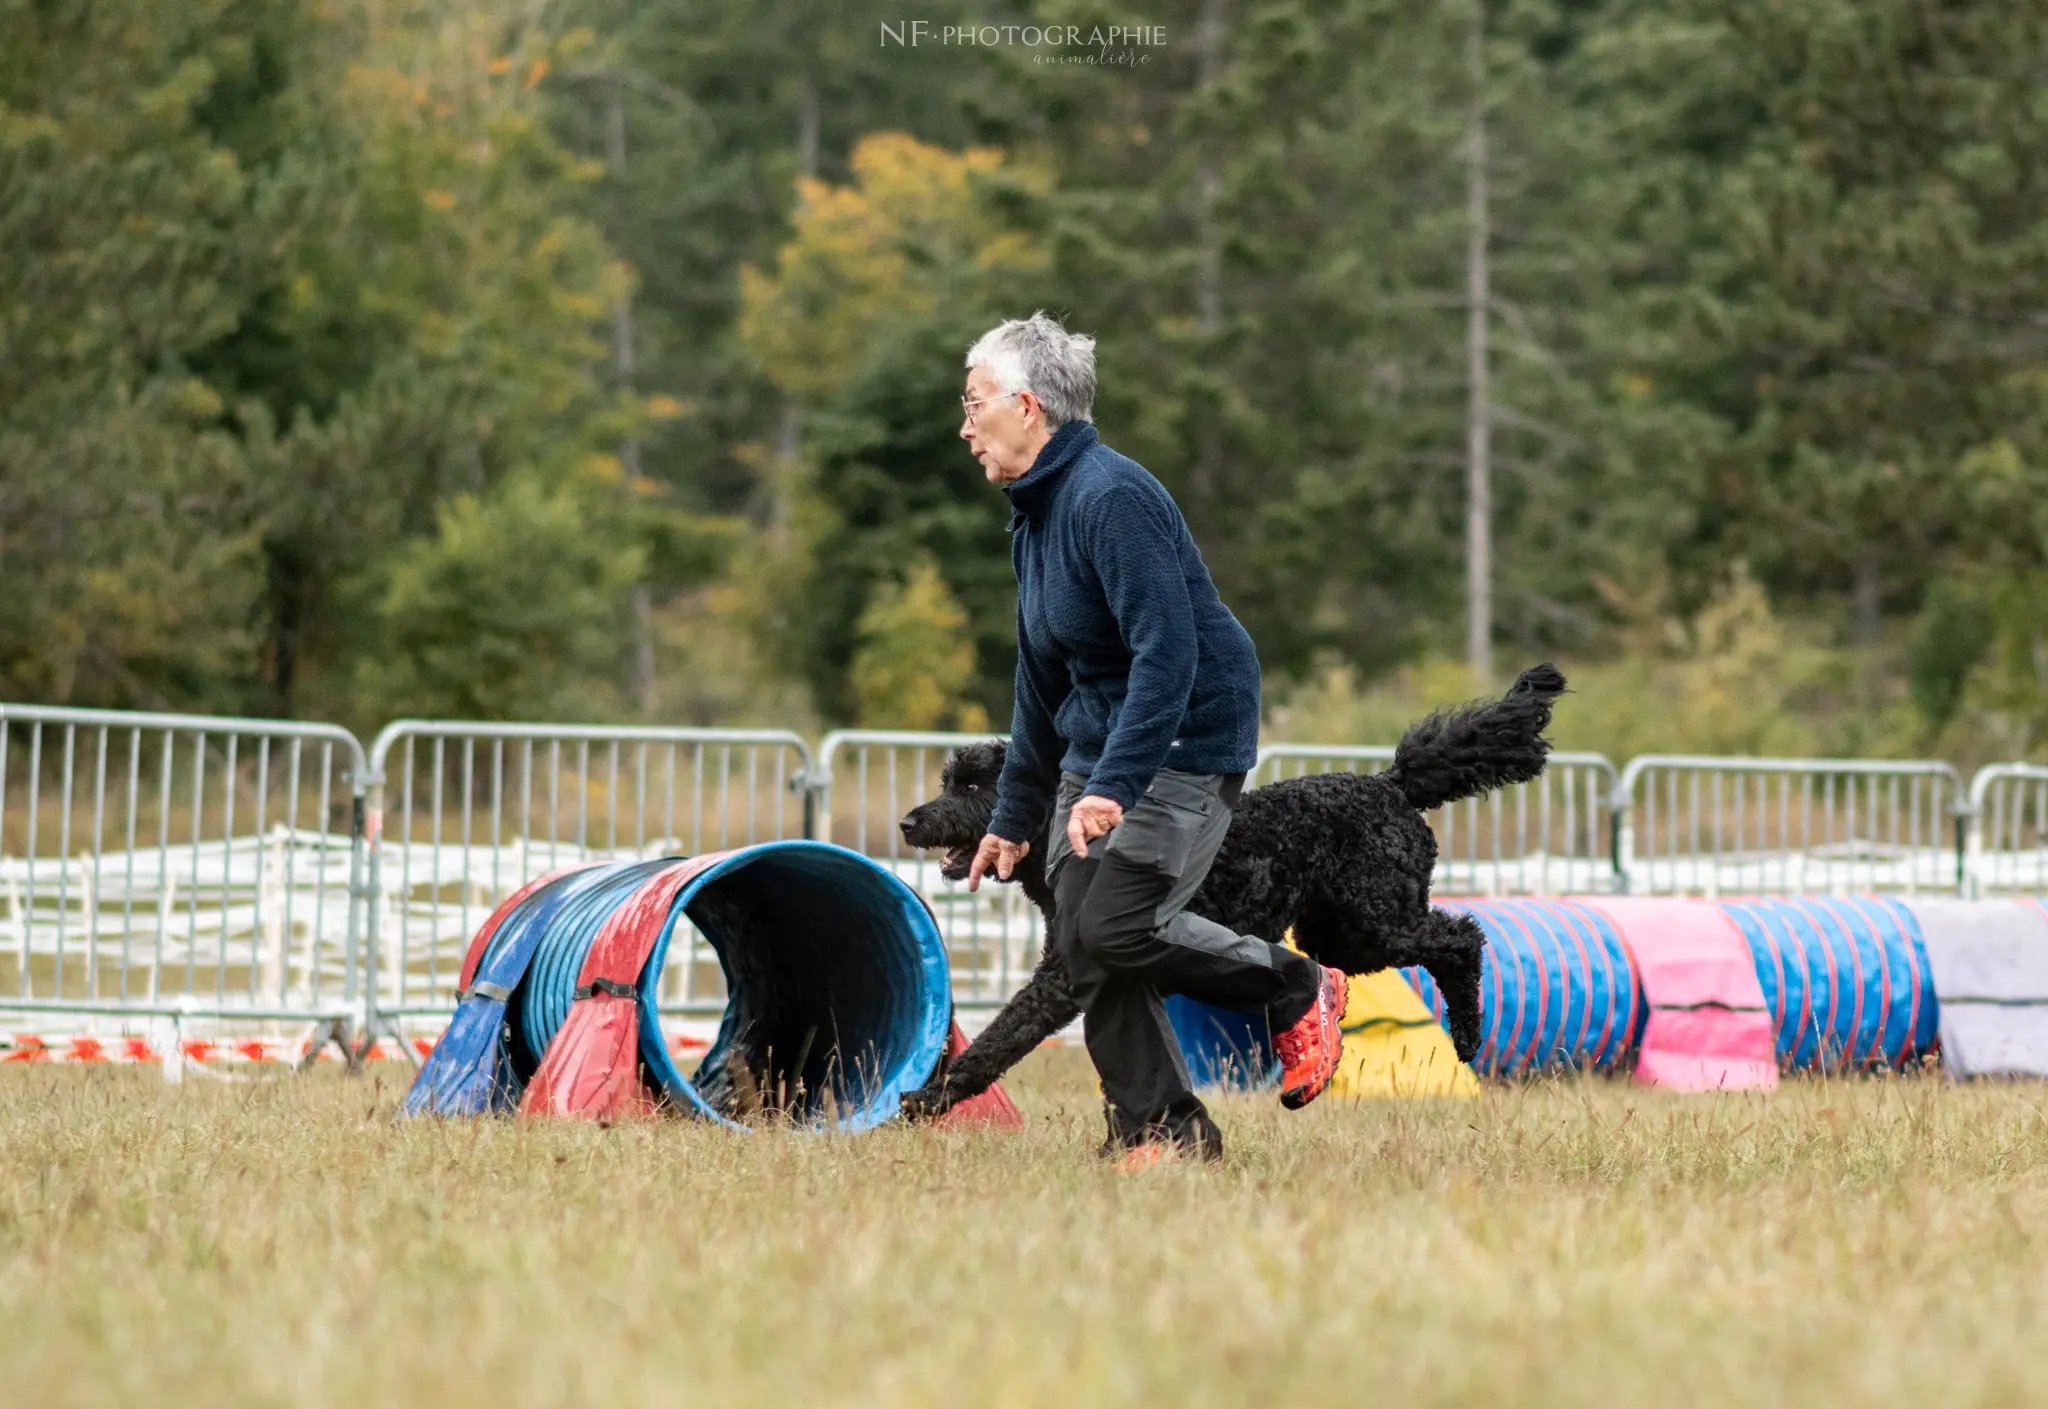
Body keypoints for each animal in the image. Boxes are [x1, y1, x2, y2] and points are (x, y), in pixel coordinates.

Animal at [897, 667, 1564, 1114]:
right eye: (948, 781)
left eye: (974, 787)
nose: (909, 822)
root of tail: (1391, 784)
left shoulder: (1062, 979)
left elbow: (1001, 1038)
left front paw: (933, 1097)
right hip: (1343, 934)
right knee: (1404, 950)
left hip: (1381, 917)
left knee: (1463, 937)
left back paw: (1468, 1033)